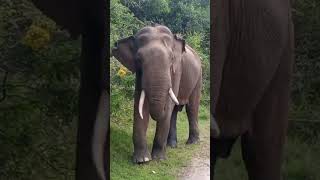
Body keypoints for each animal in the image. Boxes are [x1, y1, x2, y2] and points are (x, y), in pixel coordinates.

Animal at [112, 24, 202, 164]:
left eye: (171, 58)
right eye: (138, 59)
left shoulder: (177, 69)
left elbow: (168, 105)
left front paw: (159, 159)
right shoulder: (140, 74)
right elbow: (139, 105)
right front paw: (142, 160)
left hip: (198, 78)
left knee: (191, 108)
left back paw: (192, 143)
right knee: (174, 112)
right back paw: (171, 145)